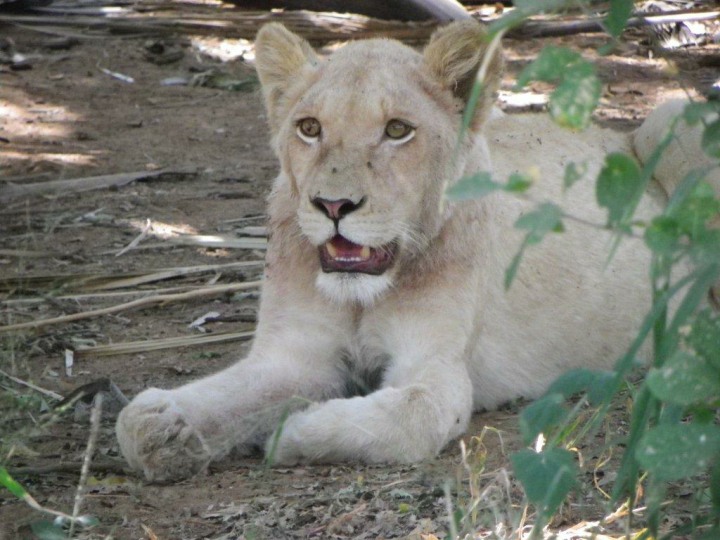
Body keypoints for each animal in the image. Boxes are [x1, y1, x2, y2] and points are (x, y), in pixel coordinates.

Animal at [116, 20, 719, 482]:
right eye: (309, 128)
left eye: (397, 130)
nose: (333, 204)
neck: (363, 295)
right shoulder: (293, 355)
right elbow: (145, 420)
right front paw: (170, 427)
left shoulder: (438, 368)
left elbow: (409, 414)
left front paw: (292, 428)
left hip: (671, 118)